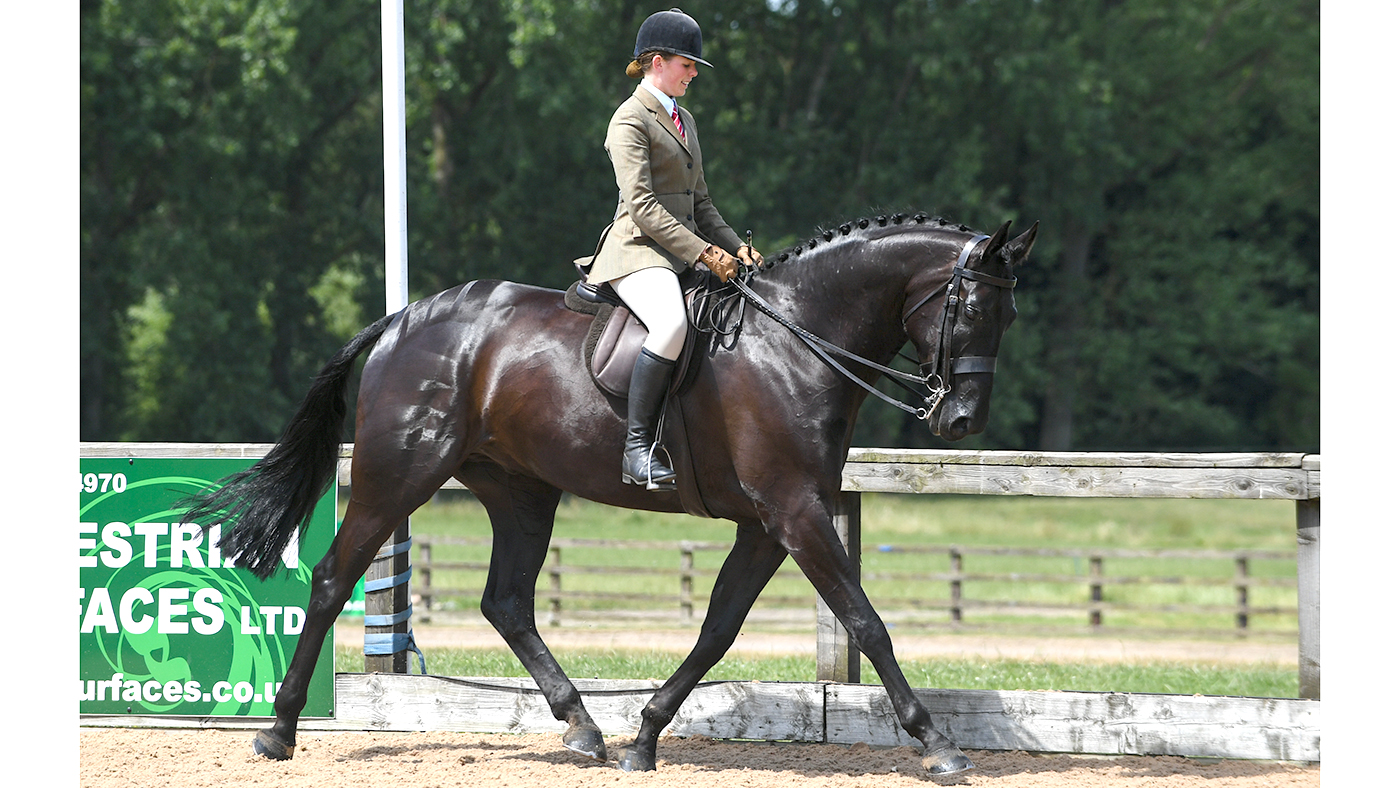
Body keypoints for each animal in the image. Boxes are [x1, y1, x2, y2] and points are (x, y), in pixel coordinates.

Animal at [180, 213, 1036, 775]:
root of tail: (403, 320)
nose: (961, 421)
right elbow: (866, 622)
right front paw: (939, 744)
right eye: (972, 308)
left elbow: (717, 631)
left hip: (521, 492)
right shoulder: (794, 511)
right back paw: (279, 731)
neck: (794, 339)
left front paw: (644, 738)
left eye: (1010, 313)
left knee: (507, 603)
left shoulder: (767, 523)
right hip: (400, 474)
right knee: (333, 579)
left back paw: (584, 729)